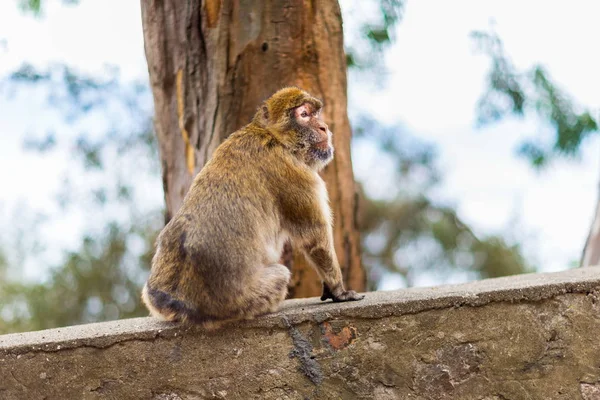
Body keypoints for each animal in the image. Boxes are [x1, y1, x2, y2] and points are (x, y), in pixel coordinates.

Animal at [142, 86, 366, 326]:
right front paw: (338, 290)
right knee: (280, 275)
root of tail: (183, 304)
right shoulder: (295, 174)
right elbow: (315, 239)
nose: (324, 127)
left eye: (316, 114)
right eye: (304, 114)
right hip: (241, 301)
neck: (274, 137)